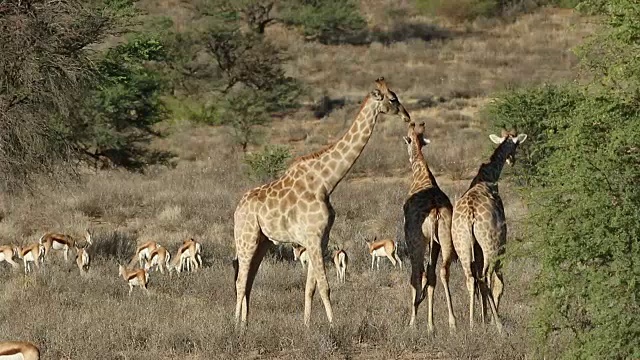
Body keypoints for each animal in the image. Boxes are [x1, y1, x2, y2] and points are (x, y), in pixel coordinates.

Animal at [234, 77, 410, 328]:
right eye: (393, 99)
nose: (407, 116)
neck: (326, 182)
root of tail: (237, 209)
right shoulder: (314, 237)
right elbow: (325, 287)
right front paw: (333, 325)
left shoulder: (320, 238)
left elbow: (310, 288)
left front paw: (307, 325)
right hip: (245, 238)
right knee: (240, 281)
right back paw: (236, 325)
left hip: (263, 241)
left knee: (248, 280)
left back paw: (245, 323)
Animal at [402, 121, 458, 332]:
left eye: (408, 140)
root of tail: (434, 211)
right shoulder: (436, 243)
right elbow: (432, 276)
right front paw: (430, 324)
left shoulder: (414, 238)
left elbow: (419, 276)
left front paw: (417, 322)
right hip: (445, 238)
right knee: (441, 272)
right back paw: (452, 323)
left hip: (417, 242)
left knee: (417, 274)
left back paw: (412, 321)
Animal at [448, 129, 528, 332]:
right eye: (517, 144)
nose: (512, 160)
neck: (490, 176)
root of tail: (470, 215)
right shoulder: (502, 242)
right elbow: (499, 282)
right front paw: (490, 319)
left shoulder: (475, 248)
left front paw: (482, 318)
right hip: (490, 245)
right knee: (486, 277)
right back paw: (498, 324)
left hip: (462, 245)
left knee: (471, 278)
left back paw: (471, 324)